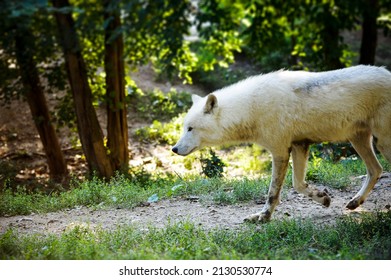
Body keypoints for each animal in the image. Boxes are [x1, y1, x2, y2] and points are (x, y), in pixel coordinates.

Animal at [173, 65, 391, 223]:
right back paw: (355, 202)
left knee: (378, 169)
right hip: (359, 141)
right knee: (376, 170)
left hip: (381, 143)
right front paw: (322, 197)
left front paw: (263, 217)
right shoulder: (299, 145)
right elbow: (298, 185)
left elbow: (273, 192)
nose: (174, 149)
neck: (250, 108)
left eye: (190, 128)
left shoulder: (279, 151)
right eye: (184, 128)